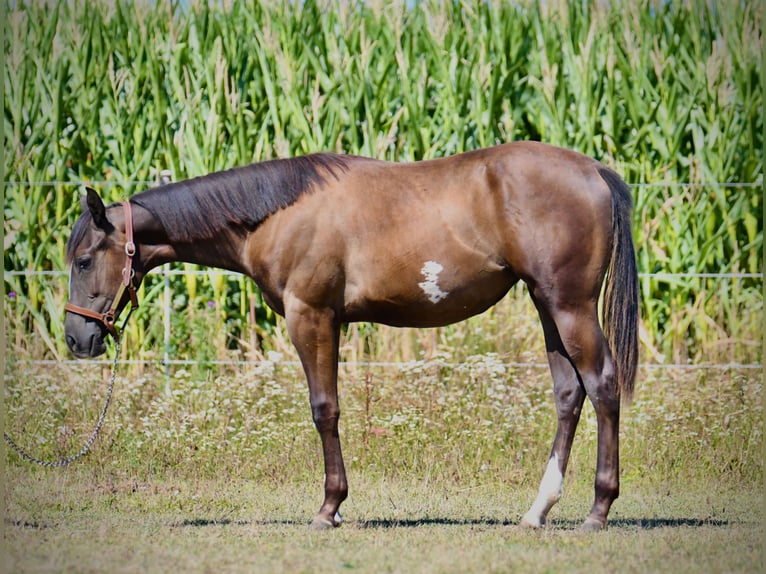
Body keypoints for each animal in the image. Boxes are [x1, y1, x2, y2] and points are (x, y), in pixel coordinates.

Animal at [64, 141, 638, 531]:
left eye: (85, 259)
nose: (75, 338)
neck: (276, 214)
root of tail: (594, 170)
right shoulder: (330, 322)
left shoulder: (311, 317)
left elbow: (325, 409)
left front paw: (329, 507)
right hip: (547, 306)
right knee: (569, 395)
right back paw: (538, 510)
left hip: (569, 306)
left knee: (603, 387)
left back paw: (599, 508)